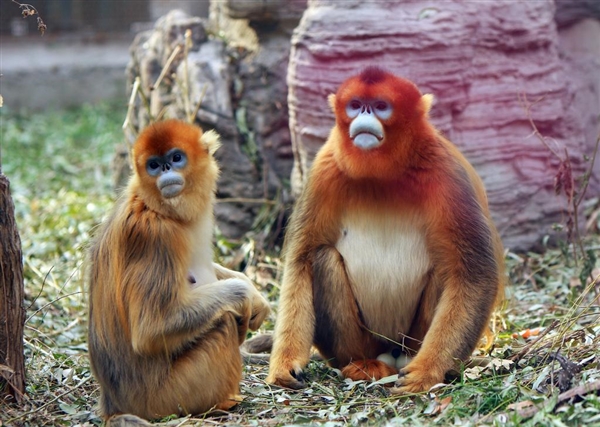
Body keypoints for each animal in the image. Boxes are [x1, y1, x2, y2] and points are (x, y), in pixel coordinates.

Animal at [87, 118, 270, 422]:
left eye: (175, 158)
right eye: (153, 164)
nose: (165, 169)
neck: (158, 207)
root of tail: (112, 402)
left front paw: (254, 294)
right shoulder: (156, 236)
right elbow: (150, 329)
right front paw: (244, 292)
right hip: (166, 397)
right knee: (222, 323)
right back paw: (223, 403)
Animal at [268, 67, 502, 394]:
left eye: (380, 106)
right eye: (355, 105)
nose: (364, 115)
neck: (381, 176)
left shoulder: (446, 172)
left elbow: (475, 274)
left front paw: (425, 372)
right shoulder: (324, 170)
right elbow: (299, 261)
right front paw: (285, 365)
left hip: (410, 338)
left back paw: (412, 359)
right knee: (322, 257)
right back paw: (362, 363)